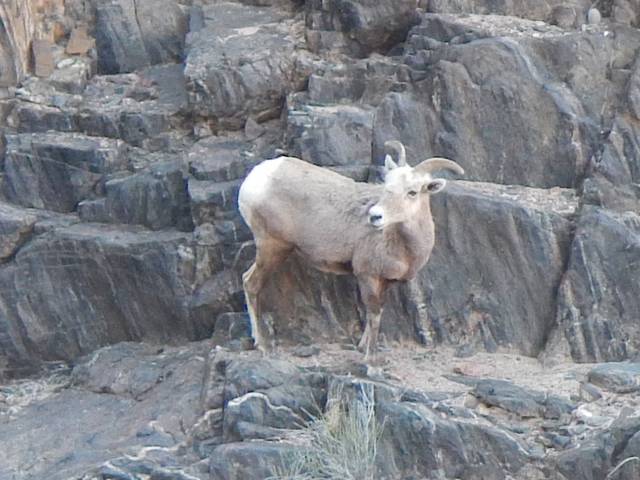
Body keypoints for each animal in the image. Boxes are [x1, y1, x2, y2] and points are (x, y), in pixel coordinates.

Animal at [237, 140, 464, 361]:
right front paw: (370, 359)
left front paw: (362, 346)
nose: (375, 216)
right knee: (251, 283)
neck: (402, 246)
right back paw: (263, 345)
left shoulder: (386, 281)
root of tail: (256, 178)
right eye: (386, 186)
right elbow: (374, 314)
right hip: (273, 247)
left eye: (412, 192)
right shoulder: (367, 275)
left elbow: (377, 311)